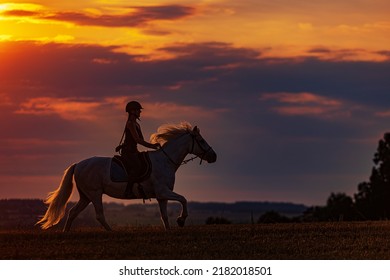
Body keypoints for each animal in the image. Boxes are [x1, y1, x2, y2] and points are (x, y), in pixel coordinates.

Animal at [36, 121, 216, 231]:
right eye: (201, 140)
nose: (214, 156)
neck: (165, 160)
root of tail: (78, 164)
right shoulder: (163, 191)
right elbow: (183, 199)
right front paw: (181, 220)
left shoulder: (161, 196)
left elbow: (164, 216)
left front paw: (170, 229)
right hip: (95, 193)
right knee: (99, 215)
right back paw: (111, 231)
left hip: (86, 196)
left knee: (73, 212)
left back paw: (66, 232)